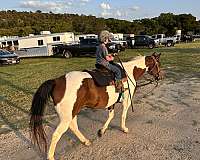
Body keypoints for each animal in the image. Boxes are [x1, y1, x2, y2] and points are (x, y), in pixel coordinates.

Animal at [29, 52, 162, 159]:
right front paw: (124, 128)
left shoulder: (112, 102)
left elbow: (111, 116)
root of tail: (56, 81)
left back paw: (85, 141)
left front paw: (101, 131)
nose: (160, 76)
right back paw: (51, 156)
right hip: (67, 117)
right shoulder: (127, 101)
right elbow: (123, 115)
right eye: (158, 64)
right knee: (57, 134)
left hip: (73, 112)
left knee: (73, 126)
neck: (129, 72)